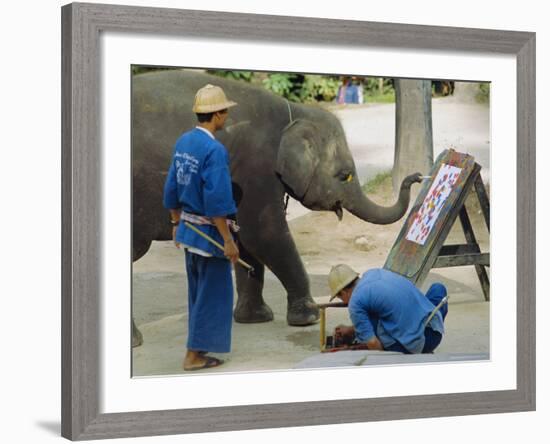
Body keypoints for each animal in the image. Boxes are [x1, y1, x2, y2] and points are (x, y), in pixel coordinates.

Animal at [134, 68, 422, 326]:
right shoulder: (255, 167)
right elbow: (264, 234)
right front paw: (308, 317)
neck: (295, 113)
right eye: (345, 176)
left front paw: (254, 319)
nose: (417, 177)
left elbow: (244, 239)